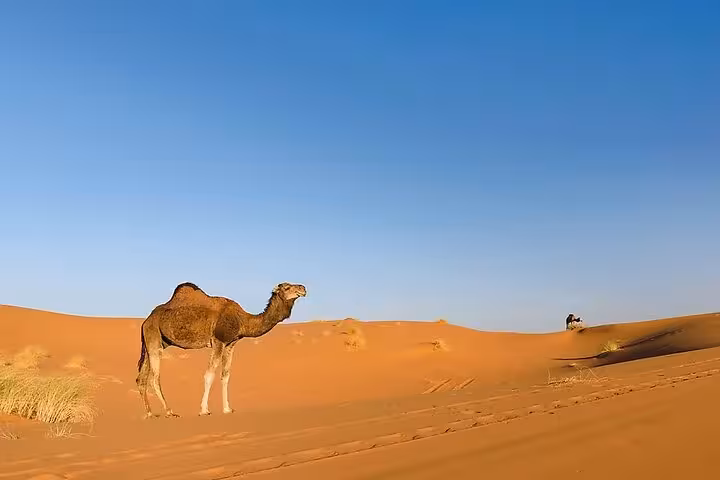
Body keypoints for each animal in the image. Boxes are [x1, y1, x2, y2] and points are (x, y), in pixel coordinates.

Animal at [136, 281, 307, 418]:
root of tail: (146, 320)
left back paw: (150, 413)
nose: (303, 288)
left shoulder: (230, 344)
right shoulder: (218, 341)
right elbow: (209, 375)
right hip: (153, 336)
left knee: (141, 378)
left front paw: (227, 409)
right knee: (154, 377)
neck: (242, 320)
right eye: (287, 287)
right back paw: (169, 411)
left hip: (156, 341)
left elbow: (225, 376)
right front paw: (204, 410)